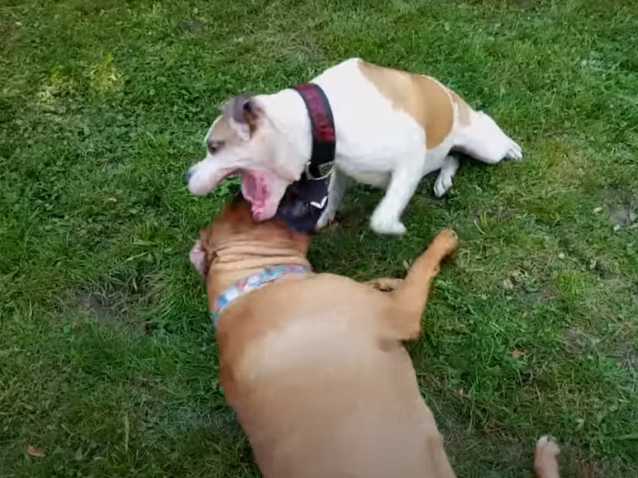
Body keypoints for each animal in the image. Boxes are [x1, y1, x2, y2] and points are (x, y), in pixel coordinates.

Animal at [186, 58, 522, 235]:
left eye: (213, 147)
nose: (186, 174)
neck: (318, 117)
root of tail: (450, 94)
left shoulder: (409, 162)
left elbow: (382, 216)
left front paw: (395, 228)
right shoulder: (342, 168)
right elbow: (333, 195)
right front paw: (324, 216)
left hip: (483, 146)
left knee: (486, 127)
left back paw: (512, 148)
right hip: (444, 156)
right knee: (453, 157)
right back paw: (444, 179)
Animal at [189, 198, 559, 478]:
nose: (239, 192)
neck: (250, 284)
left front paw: (383, 281)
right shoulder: (398, 314)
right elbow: (420, 269)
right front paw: (441, 243)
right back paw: (546, 456)